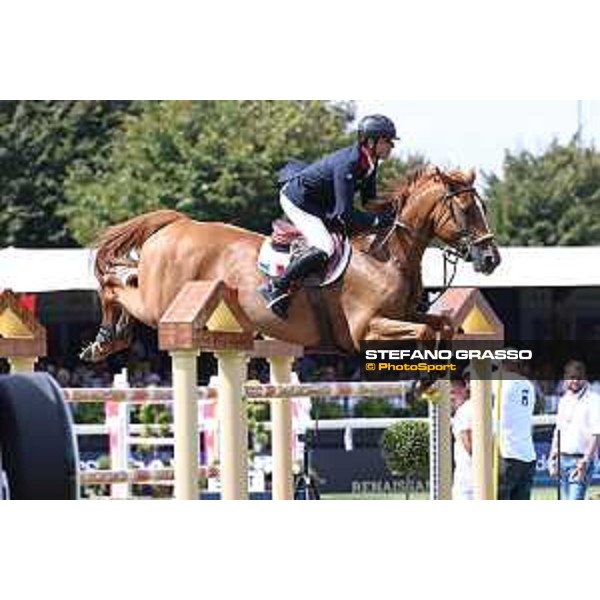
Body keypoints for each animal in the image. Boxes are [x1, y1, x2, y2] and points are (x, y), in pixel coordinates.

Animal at [79, 165, 502, 360]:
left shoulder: (407, 314)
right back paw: (106, 340)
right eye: (467, 209)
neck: (388, 256)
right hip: (160, 303)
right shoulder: (365, 328)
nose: (491, 258)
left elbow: (439, 324)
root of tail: (178, 223)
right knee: (115, 285)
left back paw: (110, 339)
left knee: (123, 280)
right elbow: (426, 331)